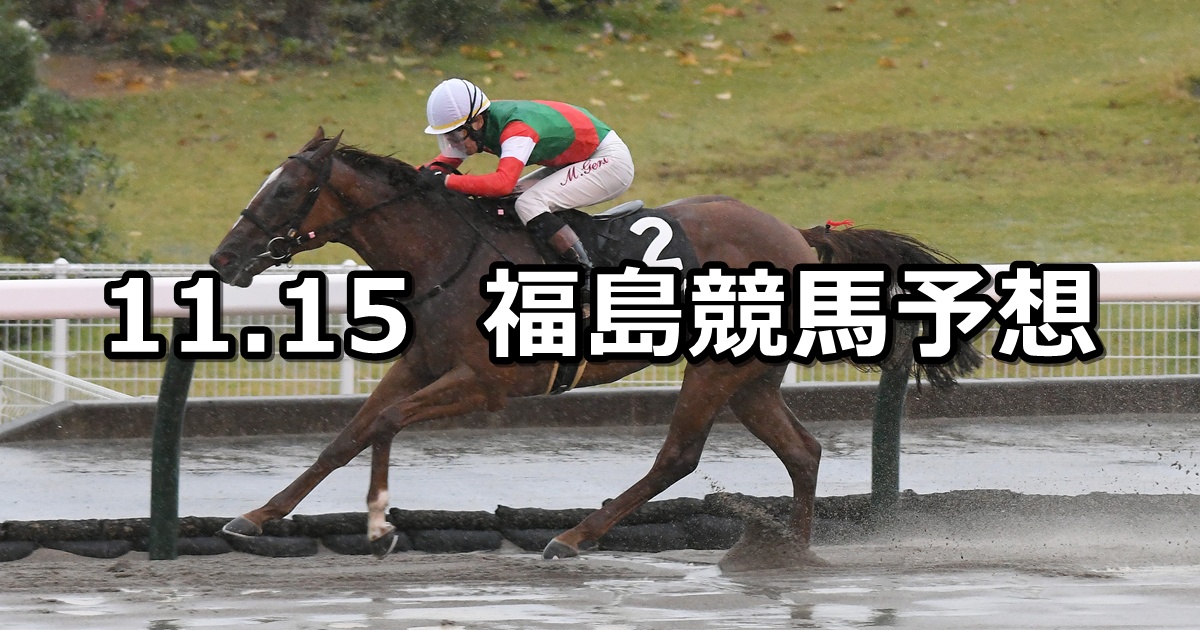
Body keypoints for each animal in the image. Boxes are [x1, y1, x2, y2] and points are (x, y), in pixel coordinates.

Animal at [209, 127, 981, 567]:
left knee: (679, 455)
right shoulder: (422, 362)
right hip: (752, 376)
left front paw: (375, 523)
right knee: (802, 452)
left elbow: (387, 422)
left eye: (285, 191)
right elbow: (351, 432)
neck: (449, 253)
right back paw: (793, 555)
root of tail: (800, 235)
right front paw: (257, 518)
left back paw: (574, 537)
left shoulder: (489, 383)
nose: (224, 260)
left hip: (718, 366)